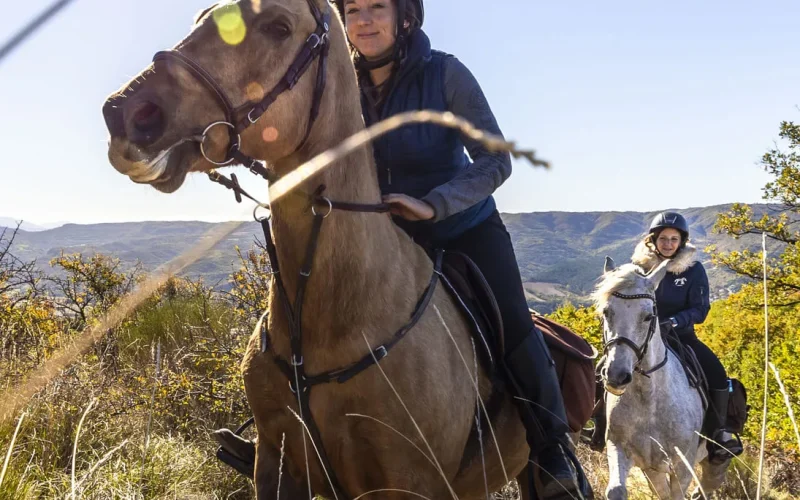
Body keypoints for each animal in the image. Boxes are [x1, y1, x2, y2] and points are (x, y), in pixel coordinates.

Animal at [592, 260, 732, 498]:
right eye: (606, 312)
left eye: (648, 316)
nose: (617, 376)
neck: (648, 399)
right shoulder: (622, 450)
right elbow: (616, 490)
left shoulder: (683, 466)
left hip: (714, 463)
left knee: (706, 485)